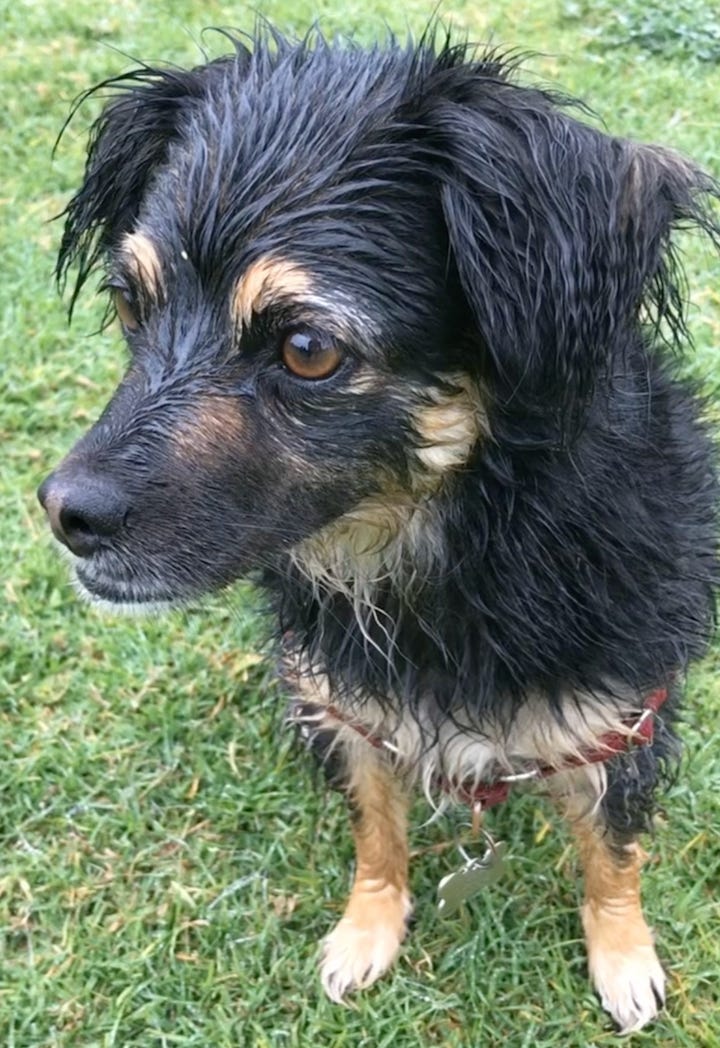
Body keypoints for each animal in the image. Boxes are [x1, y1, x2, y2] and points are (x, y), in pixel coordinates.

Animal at [40, 26, 720, 1031]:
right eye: (131, 302)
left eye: (307, 349)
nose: (63, 512)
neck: (449, 553)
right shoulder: (342, 708)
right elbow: (375, 828)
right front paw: (369, 927)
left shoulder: (620, 718)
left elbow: (612, 849)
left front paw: (623, 954)